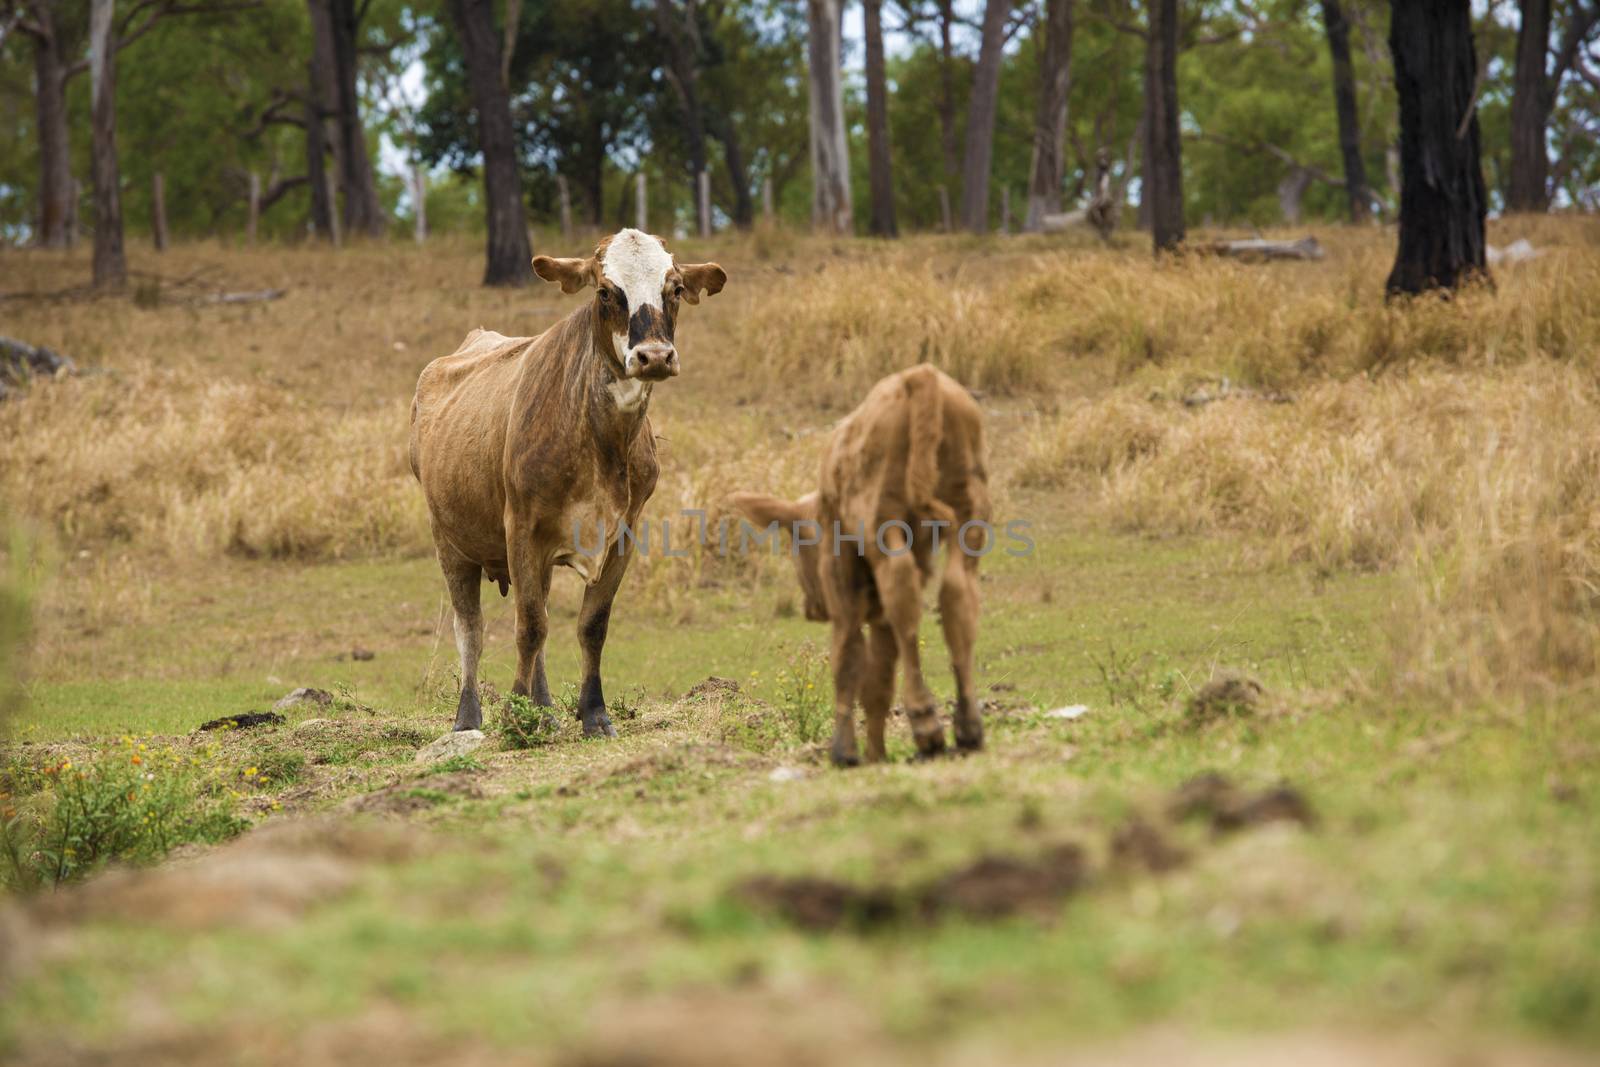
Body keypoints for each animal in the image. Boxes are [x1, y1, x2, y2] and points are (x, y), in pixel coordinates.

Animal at [416, 230, 732, 739]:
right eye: (604, 291)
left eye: (676, 288)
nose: (654, 356)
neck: (601, 444)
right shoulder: (521, 528)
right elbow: (527, 627)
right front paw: (515, 718)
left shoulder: (624, 533)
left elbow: (589, 625)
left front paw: (592, 713)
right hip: (449, 541)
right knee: (471, 628)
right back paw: (469, 718)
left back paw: (544, 709)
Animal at [729, 367, 985, 767]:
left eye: (797, 540)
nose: (812, 607)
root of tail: (919, 376)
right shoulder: (877, 614)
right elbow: (878, 678)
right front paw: (876, 753)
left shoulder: (844, 590)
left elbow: (848, 659)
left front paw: (845, 751)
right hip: (970, 512)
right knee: (957, 595)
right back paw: (968, 726)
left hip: (882, 522)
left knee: (902, 591)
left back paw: (925, 722)